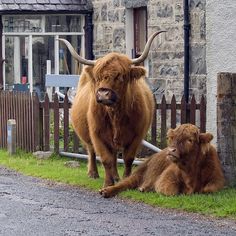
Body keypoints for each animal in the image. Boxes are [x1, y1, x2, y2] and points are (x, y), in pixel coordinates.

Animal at [59, 30, 166, 187]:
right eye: (98, 77)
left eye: (120, 76)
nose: (103, 93)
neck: (115, 114)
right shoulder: (97, 134)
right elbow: (106, 158)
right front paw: (108, 183)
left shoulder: (137, 135)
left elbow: (128, 158)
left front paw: (125, 180)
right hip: (87, 135)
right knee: (91, 151)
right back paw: (93, 173)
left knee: (115, 154)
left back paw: (116, 177)